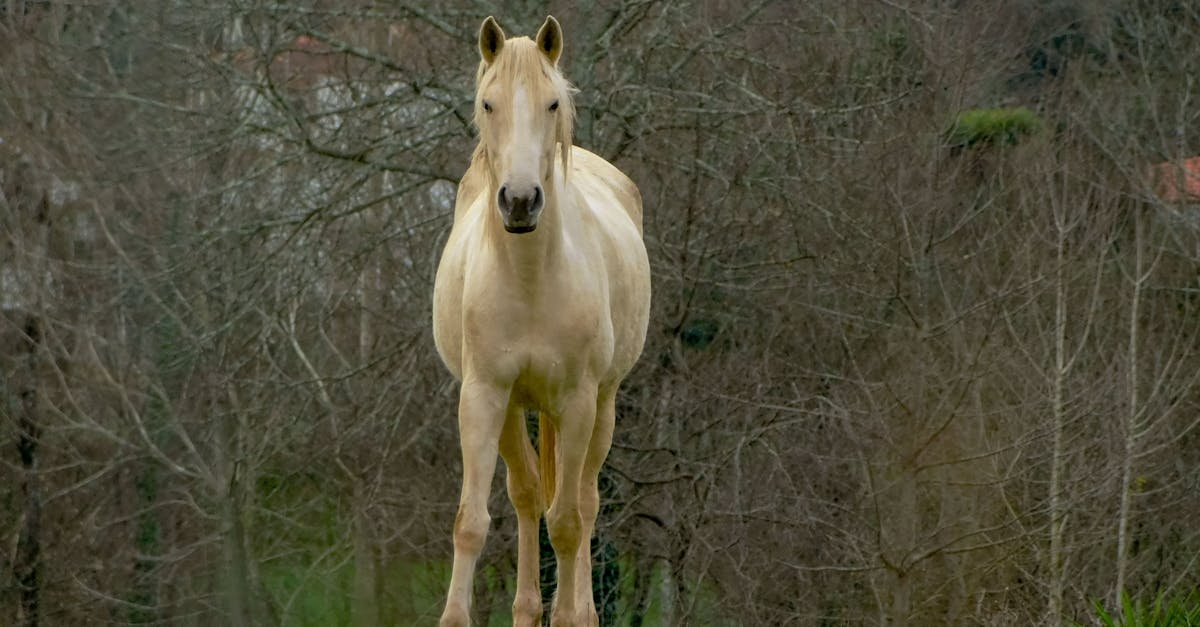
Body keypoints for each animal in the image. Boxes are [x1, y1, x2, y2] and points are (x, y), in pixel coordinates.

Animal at [432, 14, 652, 624]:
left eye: (553, 103)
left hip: (600, 406)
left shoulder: (576, 403)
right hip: (513, 410)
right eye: (488, 103)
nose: (520, 200)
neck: (531, 279)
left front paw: (572, 614)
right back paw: (528, 609)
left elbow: (570, 523)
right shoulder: (483, 396)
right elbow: (471, 521)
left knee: (582, 502)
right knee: (529, 495)